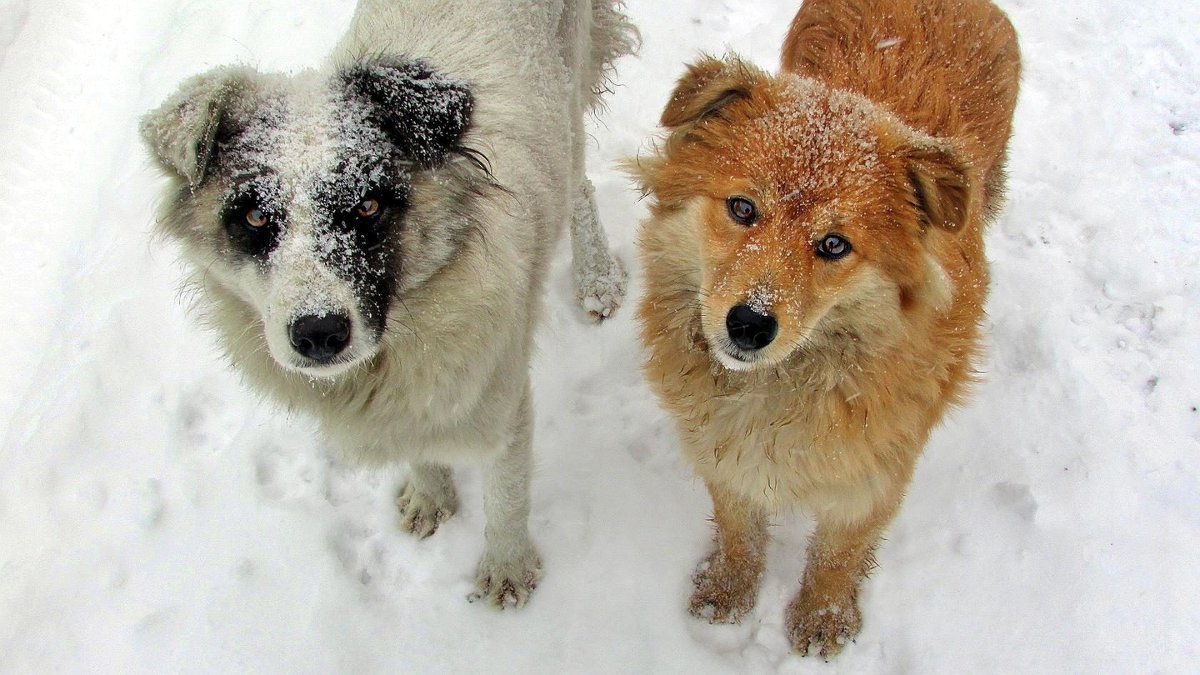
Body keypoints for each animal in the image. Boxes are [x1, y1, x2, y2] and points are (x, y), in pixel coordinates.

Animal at [139, 0, 633, 607]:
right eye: (255, 216)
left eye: (369, 205)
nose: (319, 334)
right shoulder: (403, 400)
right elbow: (419, 447)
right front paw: (430, 495)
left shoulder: (502, 397)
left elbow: (507, 495)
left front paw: (507, 569)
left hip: (569, 93)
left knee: (580, 186)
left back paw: (597, 280)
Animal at [633, 0, 1017, 653]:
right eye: (742, 208)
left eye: (833, 245)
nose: (749, 325)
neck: (781, 385)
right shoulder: (722, 449)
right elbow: (738, 527)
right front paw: (730, 588)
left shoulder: (876, 470)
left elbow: (839, 551)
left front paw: (823, 616)